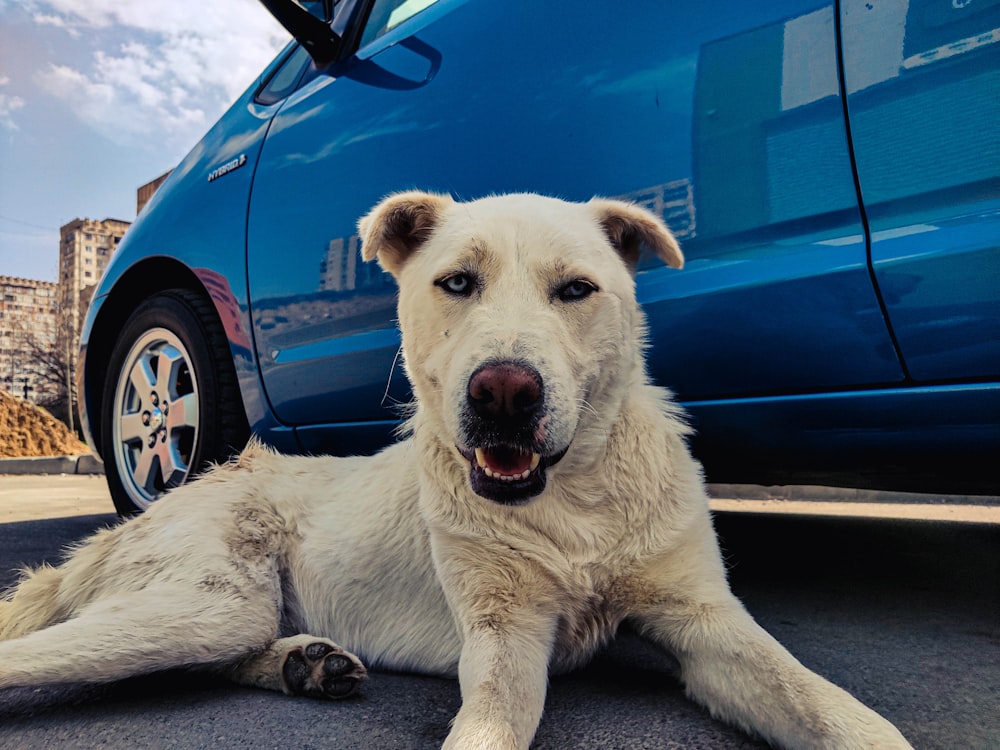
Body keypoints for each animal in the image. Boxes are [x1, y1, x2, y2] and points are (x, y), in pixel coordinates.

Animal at [0, 195, 912, 750]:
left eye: (576, 289)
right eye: (457, 282)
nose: (504, 390)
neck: (573, 501)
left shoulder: (708, 624)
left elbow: (834, 711)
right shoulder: (504, 641)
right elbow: (492, 723)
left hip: (222, 613)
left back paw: (304, 663)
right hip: (200, 604)